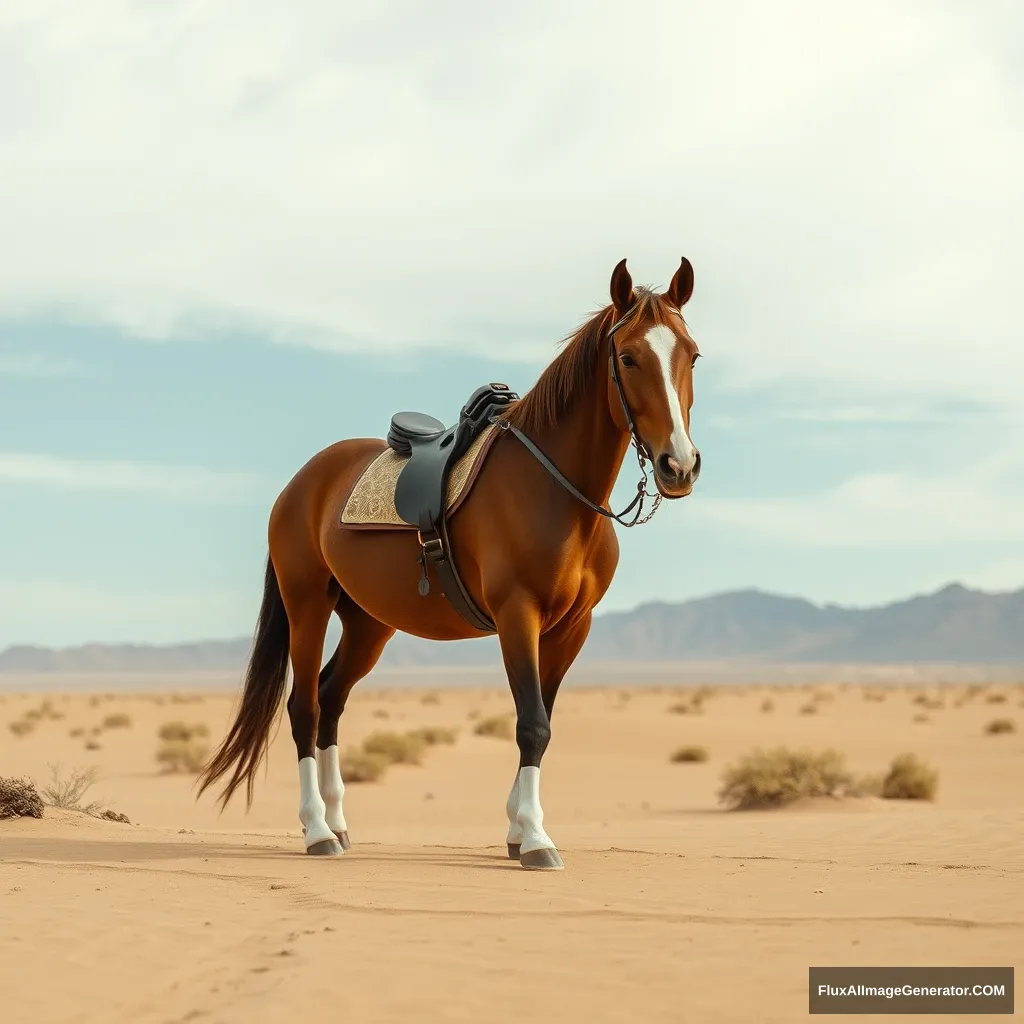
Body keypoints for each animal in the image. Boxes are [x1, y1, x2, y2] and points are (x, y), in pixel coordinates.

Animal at [194, 256, 700, 872]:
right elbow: (532, 724)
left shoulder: (570, 628)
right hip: (306, 603)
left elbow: (543, 719)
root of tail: (301, 483)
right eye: (627, 357)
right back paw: (316, 831)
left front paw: (516, 830)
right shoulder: (518, 615)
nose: (679, 465)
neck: (554, 489)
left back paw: (338, 824)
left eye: (692, 354)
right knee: (305, 706)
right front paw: (535, 839)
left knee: (333, 697)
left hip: (368, 622)